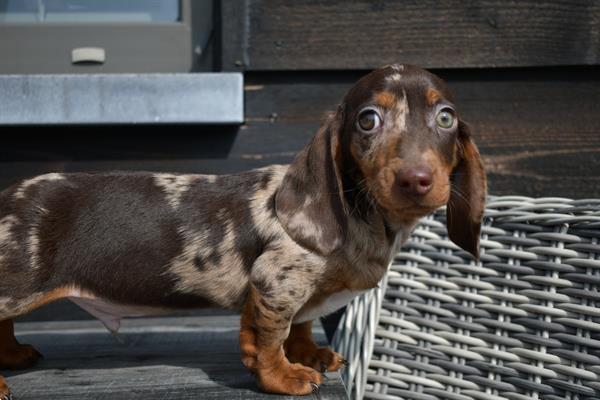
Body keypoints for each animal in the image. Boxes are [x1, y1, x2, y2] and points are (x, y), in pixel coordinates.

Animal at [0, 65, 488, 396]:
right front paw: (284, 376)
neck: (362, 215)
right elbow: (270, 338)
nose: (416, 179)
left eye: (446, 118)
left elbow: (300, 325)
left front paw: (309, 354)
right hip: (14, 284)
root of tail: (7, 194)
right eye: (367, 120)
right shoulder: (275, 282)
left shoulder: (297, 293)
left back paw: (13, 355)